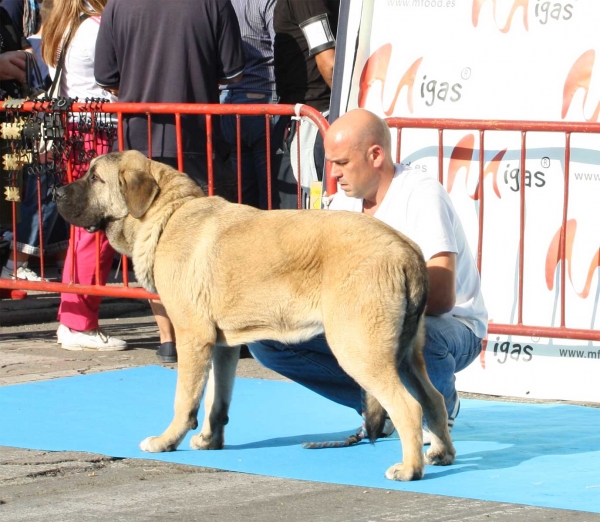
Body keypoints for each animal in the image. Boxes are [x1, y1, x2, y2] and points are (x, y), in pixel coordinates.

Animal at [57, 148, 460, 478]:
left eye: (95, 178)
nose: (57, 193)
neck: (166, 214)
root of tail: (406, 249)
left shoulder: (192, 337)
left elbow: (185, 399)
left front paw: (166, 440)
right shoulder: (223, 346)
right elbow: (216, 399)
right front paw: (209, 439)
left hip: (360, 350)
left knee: (408, 407)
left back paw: (410, 469)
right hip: (406, 355)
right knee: (434, 399)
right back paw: (441, 454)